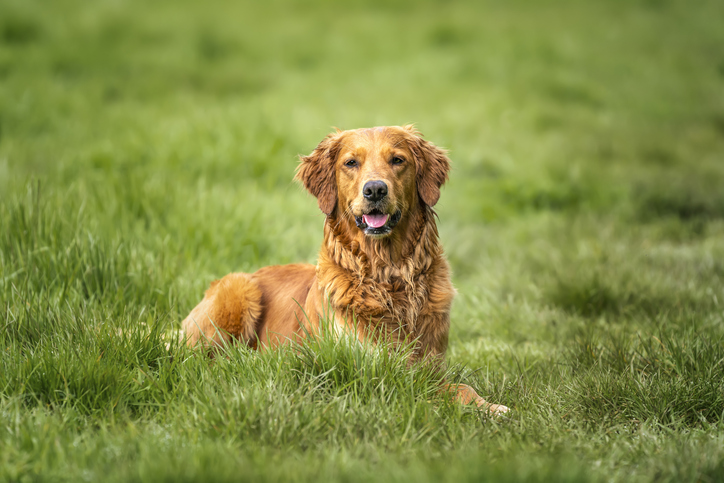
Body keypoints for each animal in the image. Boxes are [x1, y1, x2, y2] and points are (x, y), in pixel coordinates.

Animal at [181, 125, 510, 416]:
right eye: (351, 162)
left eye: (397, 160)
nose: (375, 189)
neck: (387, 274)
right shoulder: (374, 372)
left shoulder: (431, 363)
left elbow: (461, 386)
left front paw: (490, 406)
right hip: (238, 289)